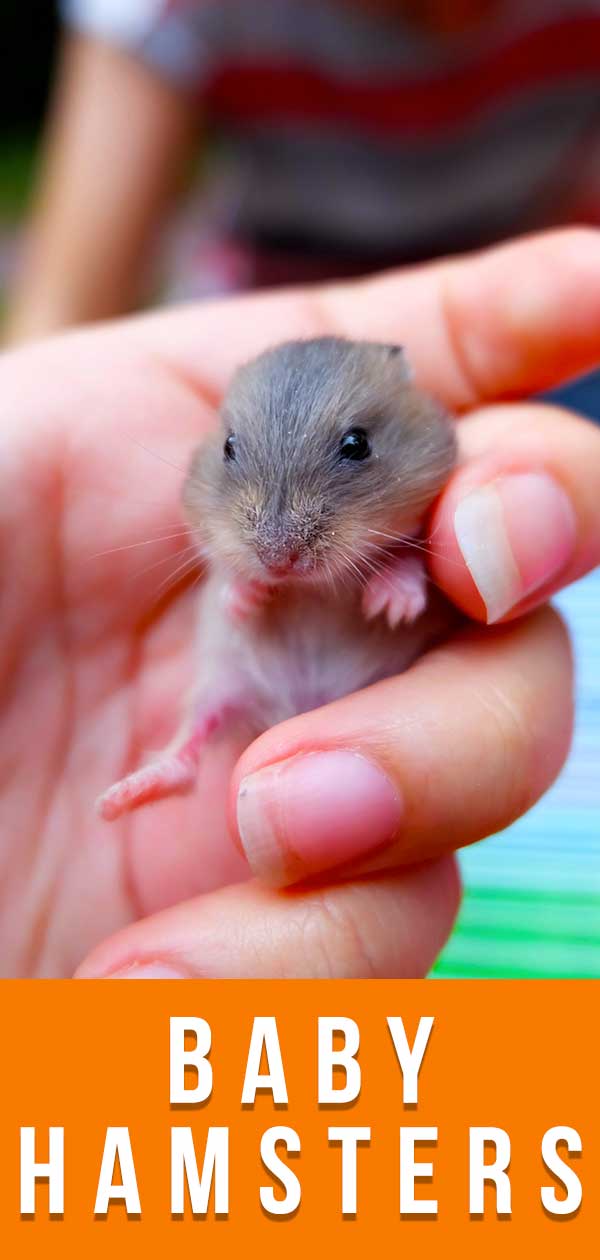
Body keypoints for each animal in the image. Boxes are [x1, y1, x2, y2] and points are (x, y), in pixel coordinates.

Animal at [97, 340, 453, 821]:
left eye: (357, 444)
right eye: (228, 446)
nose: (277, 560)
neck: (311, 589)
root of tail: (292, 711)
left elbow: (413, 556)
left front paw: (389, 605)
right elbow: (224, 570)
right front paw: (247, 598)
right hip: (221, 682)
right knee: (190, 745)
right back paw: (117, 800)